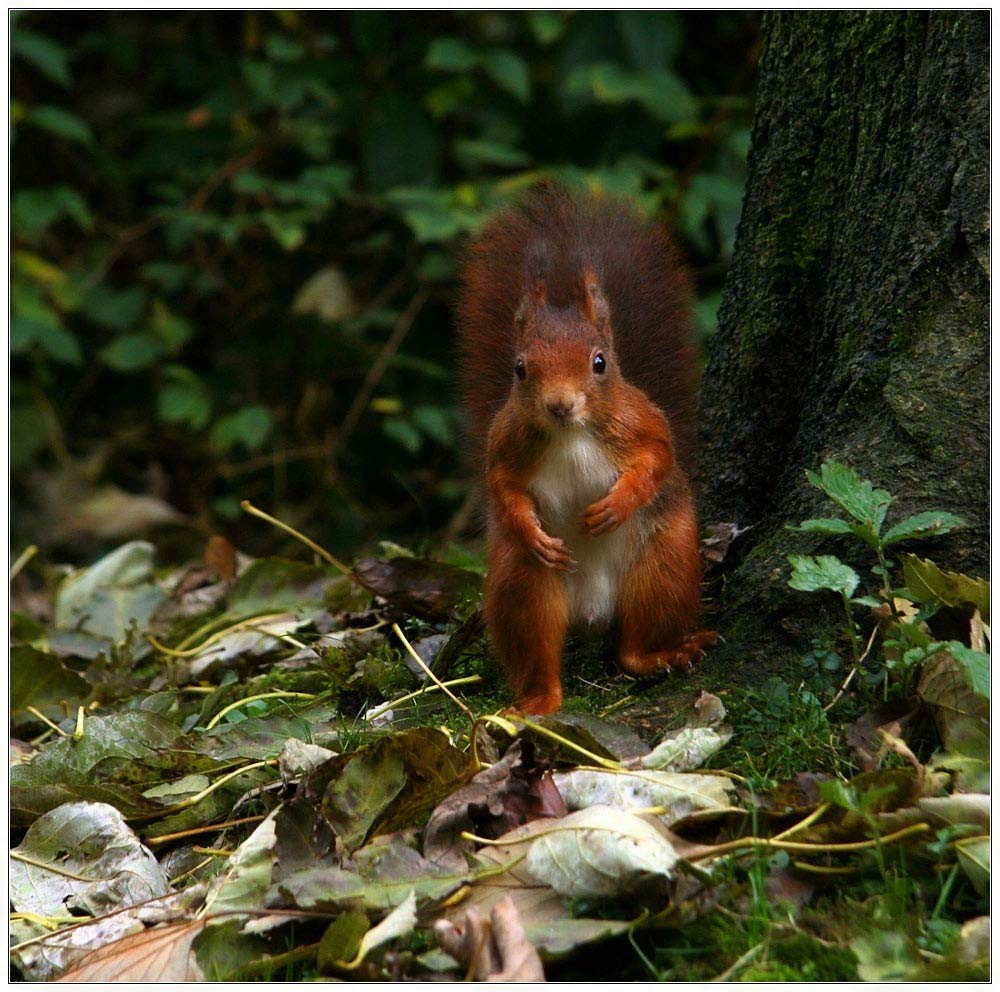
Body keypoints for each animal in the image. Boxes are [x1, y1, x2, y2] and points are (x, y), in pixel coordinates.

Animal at [458, 186, 716, 712]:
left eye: (600, 362)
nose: (560, 404)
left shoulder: (643, 424)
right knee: (537, 654)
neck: (570, 435)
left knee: (634, 647)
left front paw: (616, 504)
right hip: (522, 586)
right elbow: (501, 487)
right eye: (520, 369)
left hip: (665, 563)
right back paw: (535, 701)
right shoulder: (505, 445)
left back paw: (664, 654)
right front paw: (530, 531)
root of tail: (593, 613)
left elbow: (658, 459)